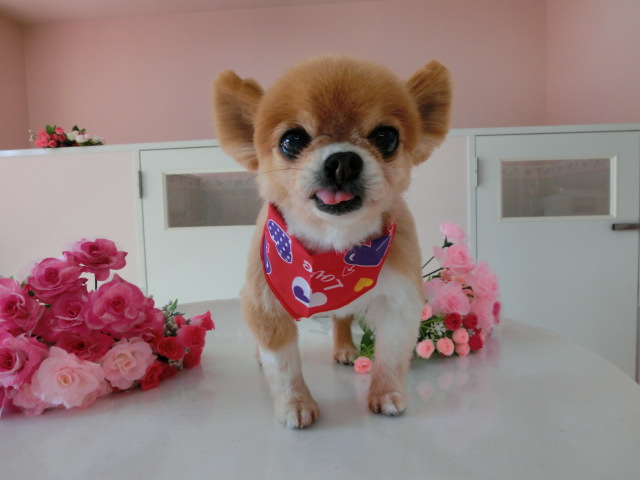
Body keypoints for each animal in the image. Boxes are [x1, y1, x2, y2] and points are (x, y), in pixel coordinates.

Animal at [212, 55, 451, 428]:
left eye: (386, 137)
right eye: (292, 141)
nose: (343, 161)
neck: (334, 247)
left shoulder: (401, 302)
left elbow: (391, 356)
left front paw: (386, 394)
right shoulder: (265, 302)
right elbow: (283, 365)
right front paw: (295, 403)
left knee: (341, 318)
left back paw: (344, 349)